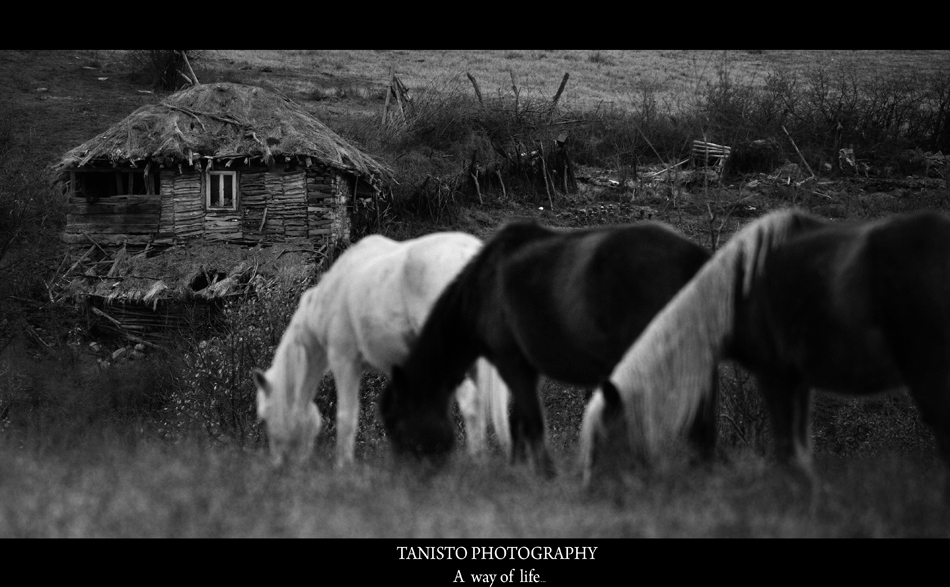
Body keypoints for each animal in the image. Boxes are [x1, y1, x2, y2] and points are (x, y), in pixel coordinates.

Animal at [253, 231, 511, 469]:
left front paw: (343, 468)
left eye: (264, 417)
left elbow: (346, 417)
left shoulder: (343, 360)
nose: (280, 466)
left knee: (472, 403)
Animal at [380, 219, 718, 477]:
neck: (481, 288)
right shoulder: (525, 368)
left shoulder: (511, 362)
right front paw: (518, 471)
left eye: (395, 422)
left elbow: (531, 422)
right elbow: (518, 421)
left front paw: (544, 476)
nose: (404, 476)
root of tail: (694, 256)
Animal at [580, 208, 950, 495]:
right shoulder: (797, 380)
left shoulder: (774, 374)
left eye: (603, 440)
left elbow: (789, 452)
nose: (593, 492)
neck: (733, 293)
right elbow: (800, 449)